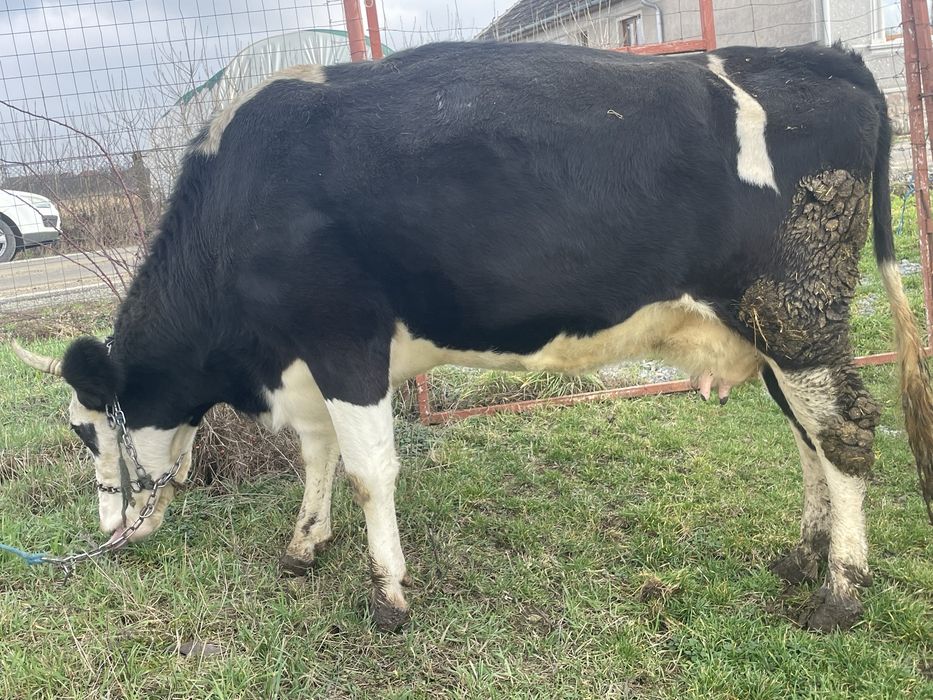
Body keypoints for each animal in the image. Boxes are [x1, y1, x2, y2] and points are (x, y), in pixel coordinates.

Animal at [13, 41, 933, 633]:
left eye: (84, 429)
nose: (112, 534)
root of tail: (823, 56)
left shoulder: (346, 343)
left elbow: (368, 472)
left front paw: (387, 594)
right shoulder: (303, 361)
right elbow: (316, 457)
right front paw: (305, 544)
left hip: (797, 311)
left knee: (844, 434)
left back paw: (840, 594)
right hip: (777, 330)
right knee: (807, 436)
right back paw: (803, 556)